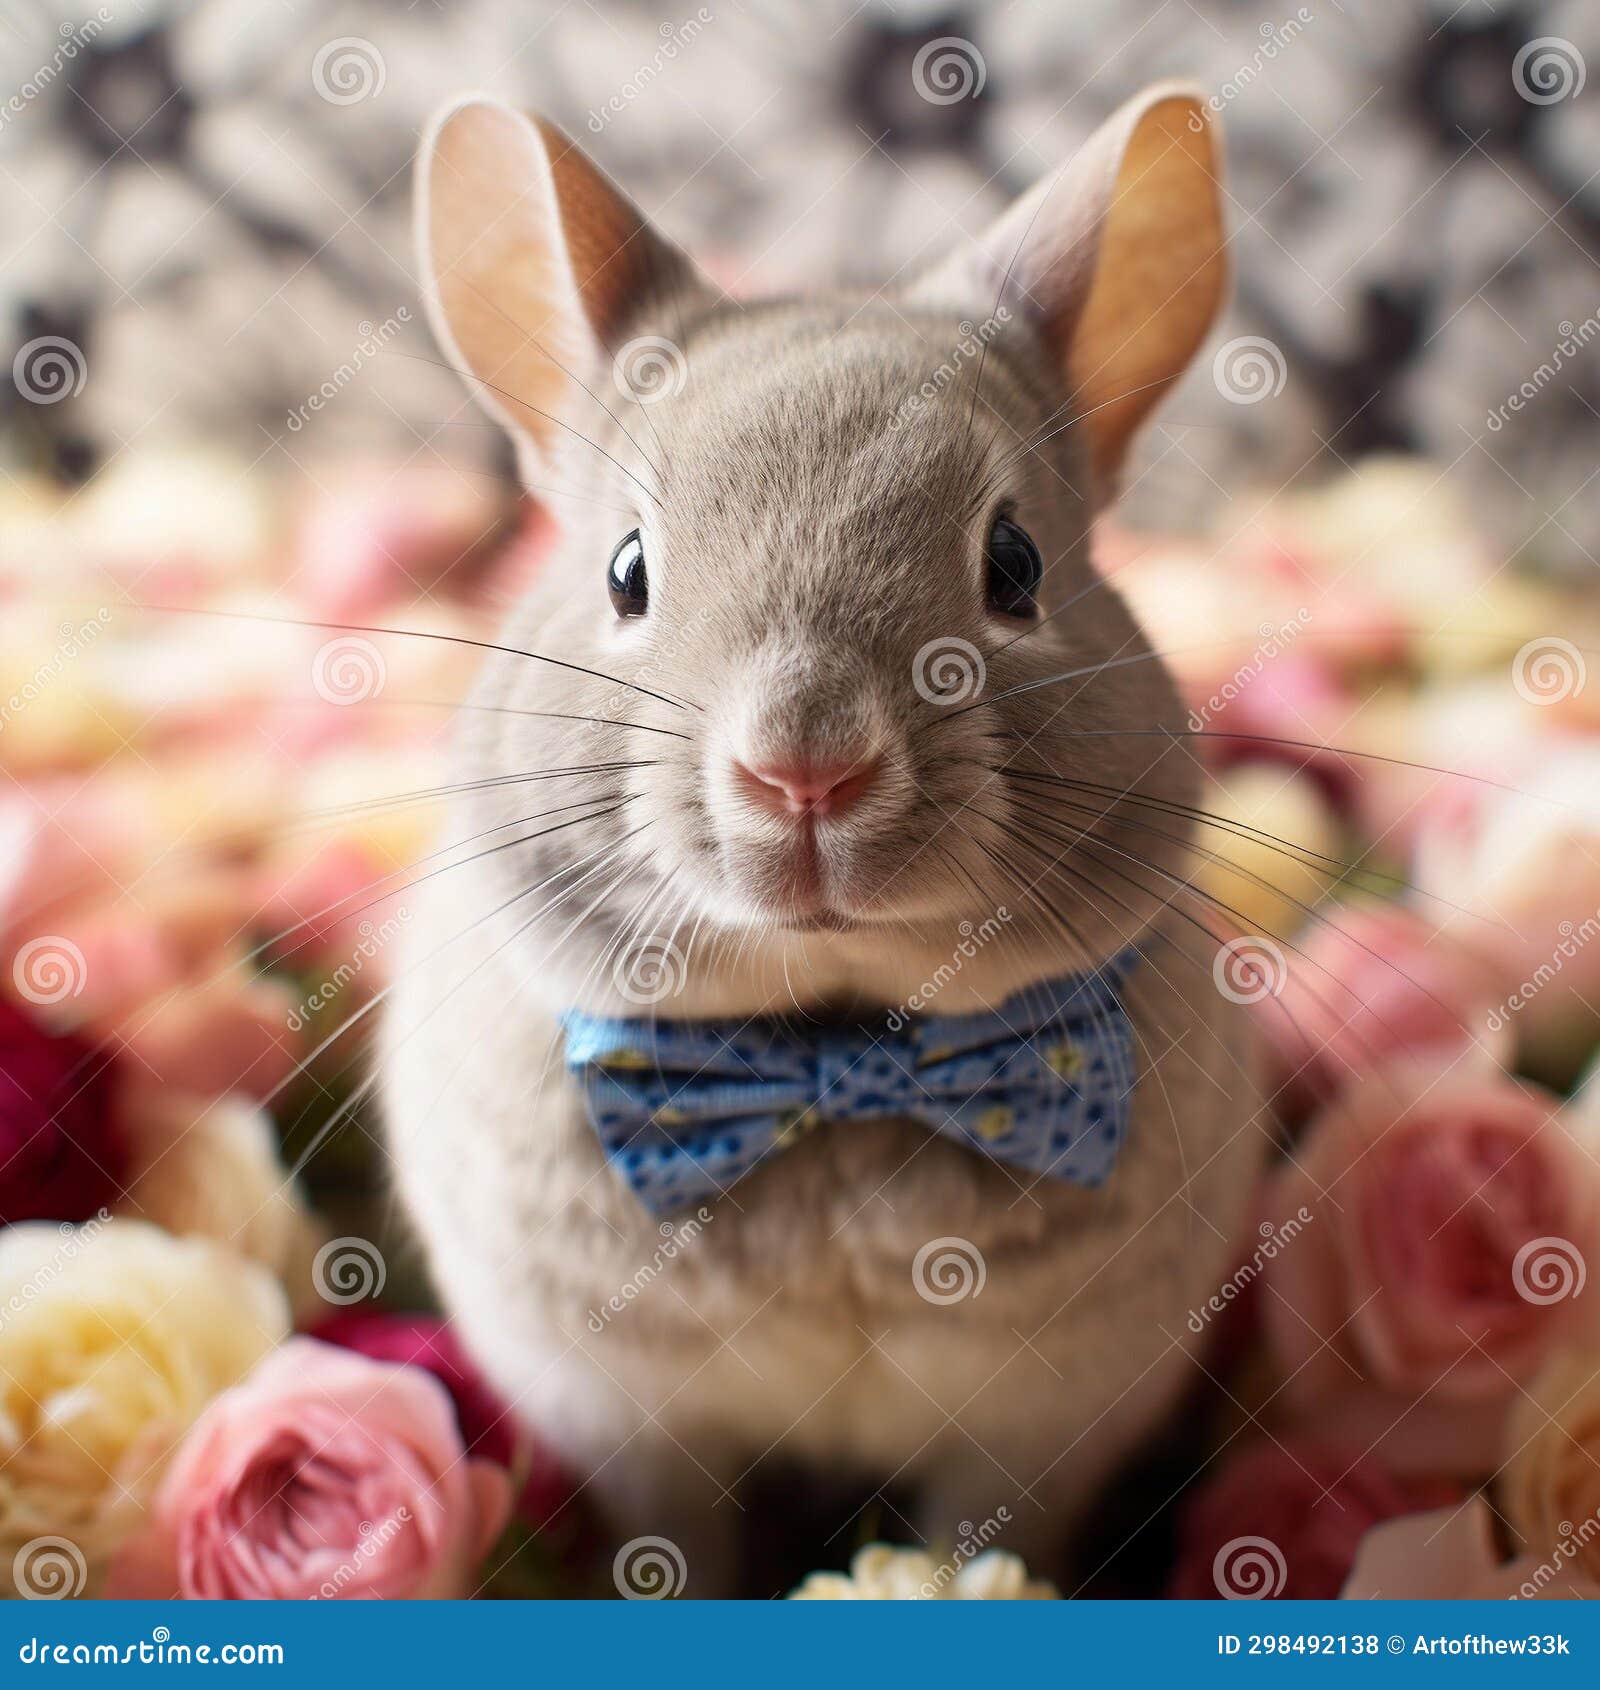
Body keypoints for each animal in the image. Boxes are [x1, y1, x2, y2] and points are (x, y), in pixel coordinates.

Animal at [381, 82, 1270, 1595]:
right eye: (625, 570)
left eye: (1016, 566)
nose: (805, 765)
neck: (836, 1050)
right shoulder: (633, 1421)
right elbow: (674, 1540)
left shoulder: (1040, 1428)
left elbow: (994, 1537)